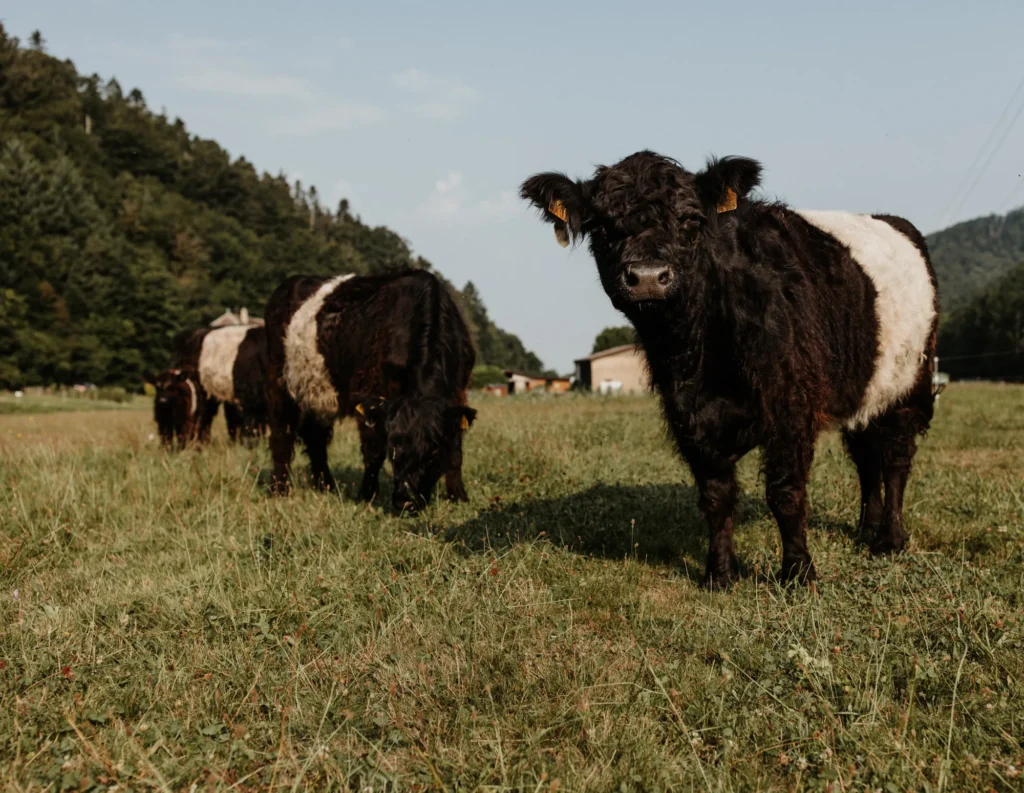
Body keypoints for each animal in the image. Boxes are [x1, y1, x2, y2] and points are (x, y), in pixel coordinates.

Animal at [263, 269, 477, 512]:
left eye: (432, 451)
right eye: (393, 448)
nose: (404, 501)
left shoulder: (458, 393)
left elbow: (455, 450)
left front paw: (459, 496)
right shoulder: (369, 394)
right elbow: (373, 452)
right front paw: (366, 496)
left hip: (317, 389)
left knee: (314, 435)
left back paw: (326, 486)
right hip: (279, 380)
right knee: (282, 433)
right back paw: (280, 490)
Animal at [521, 151, 938, 587]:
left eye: (691, 220)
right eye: (601, 226)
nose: (649, 278)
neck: (704, 356)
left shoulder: (791, 405)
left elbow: (785, 492)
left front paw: (798, 572)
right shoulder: (687, 415)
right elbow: (716, 494)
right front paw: (719, 573)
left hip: (912, 382)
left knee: (895, 459)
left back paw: (889, 539)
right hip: (865, 387)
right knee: (865, 456)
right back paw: (866, 528)